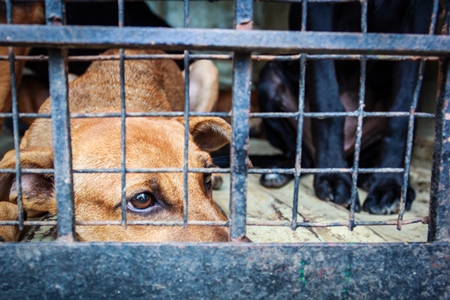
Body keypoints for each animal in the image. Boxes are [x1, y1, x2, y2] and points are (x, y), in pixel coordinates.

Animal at [255, 1, 434, 214]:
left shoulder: (420, 17)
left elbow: (402, 113)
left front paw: (390, 186)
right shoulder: (318, 12)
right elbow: (326, 99)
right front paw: (334, 178)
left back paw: (369, 177)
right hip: (270, 78)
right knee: (302, 157)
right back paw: (278, 171)